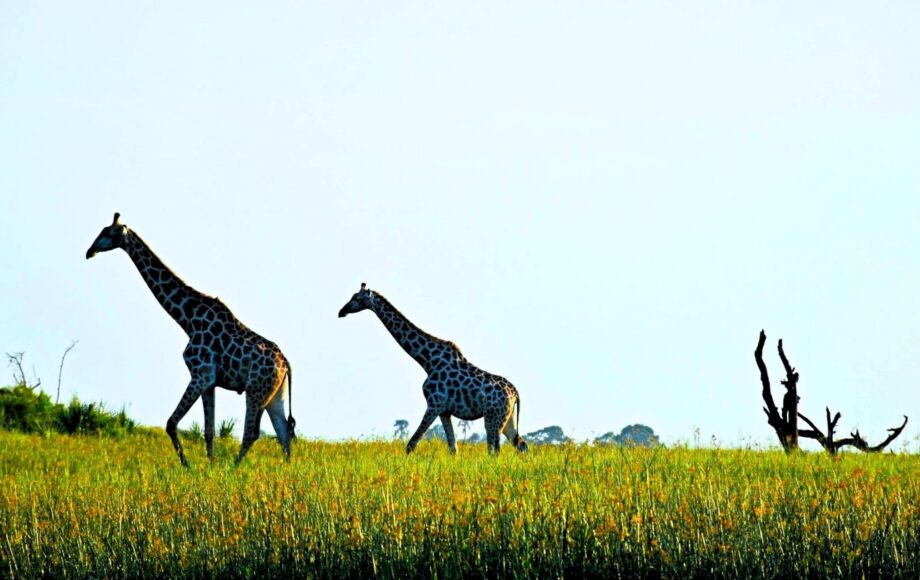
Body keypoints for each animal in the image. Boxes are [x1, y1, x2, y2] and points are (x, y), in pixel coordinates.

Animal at [86, 213, 295, 466]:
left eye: (108, 232)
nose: (89, 251)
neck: (187, 319)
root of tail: (286, 365)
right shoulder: (210, 381)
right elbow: (209, 430)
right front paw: (210, 466)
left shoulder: (200, 374)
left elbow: (171, 423)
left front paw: (188, 465)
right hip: (275, 394)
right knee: (283, 431)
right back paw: (286, 470)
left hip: (255, 390)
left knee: (253, 433)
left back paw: (234, 468)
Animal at [338, 283, 527, 455]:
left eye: (356, 298)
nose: (341, 311)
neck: (427, 361)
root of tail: (515, 393)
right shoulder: (444, 411)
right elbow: (453, 448)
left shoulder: (434, 404)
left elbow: (411, 444)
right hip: (507, 419)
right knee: (521, 445)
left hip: (493, 417)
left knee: (494, 450)